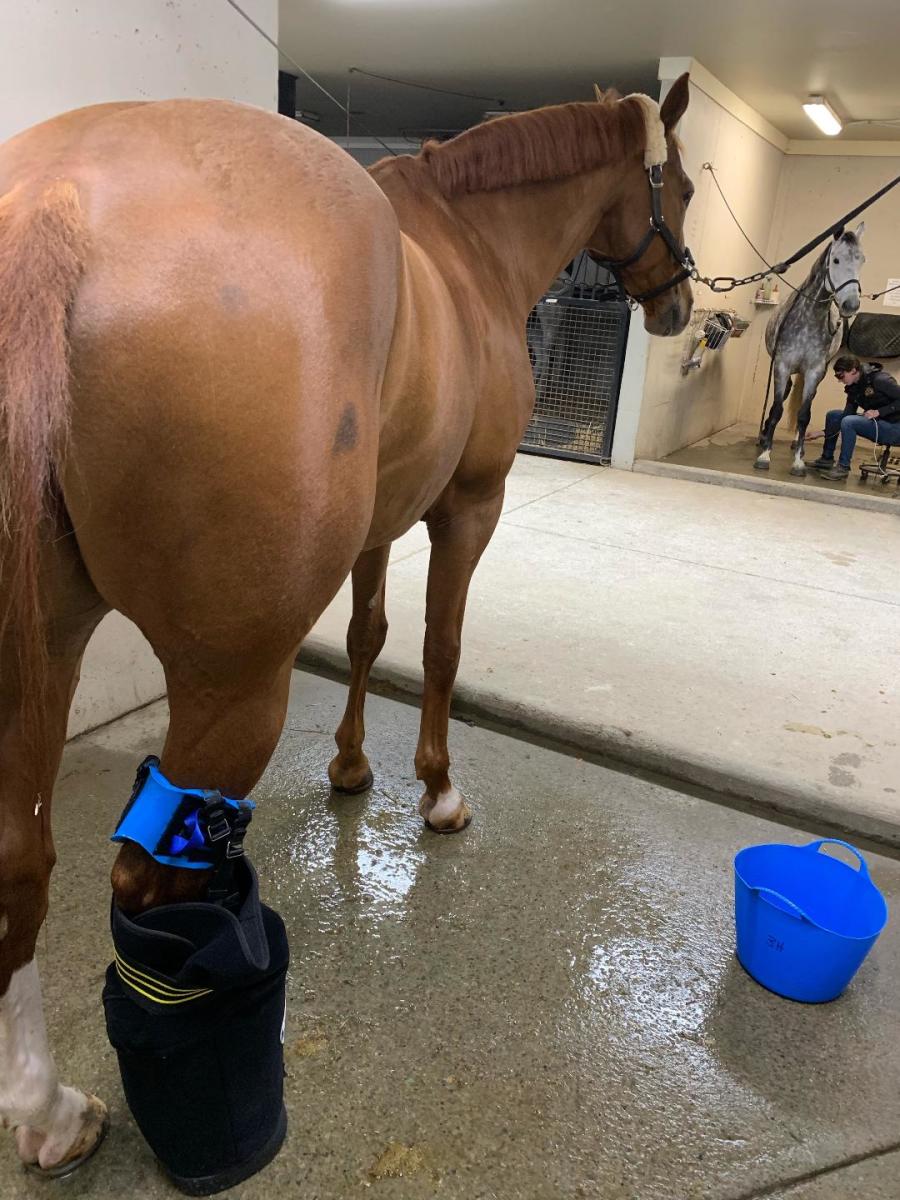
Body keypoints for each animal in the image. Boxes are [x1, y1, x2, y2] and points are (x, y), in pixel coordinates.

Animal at [0, 76, 693, 1174]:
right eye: (687, 186)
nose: (682, 307)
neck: (468, 245)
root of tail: (54, 202)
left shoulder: (383, 520)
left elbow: (369, 637)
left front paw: (353, 768)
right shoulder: (467, 507)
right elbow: (440, 649)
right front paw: (437, 792)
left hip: (42, 649)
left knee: (17, 869)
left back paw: (51, 1113)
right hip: (231, 686)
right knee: (141, 880)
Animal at [754, 225, 865, 475]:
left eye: (861, 260)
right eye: (836, 260)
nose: (851, 305)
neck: (808, 319)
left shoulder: (814, 371)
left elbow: (804, 414)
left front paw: (798, 461)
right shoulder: (782, 365)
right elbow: (776, 409)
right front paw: (764, 455)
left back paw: (798, 444)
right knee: (782, 397)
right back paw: (764, 437)